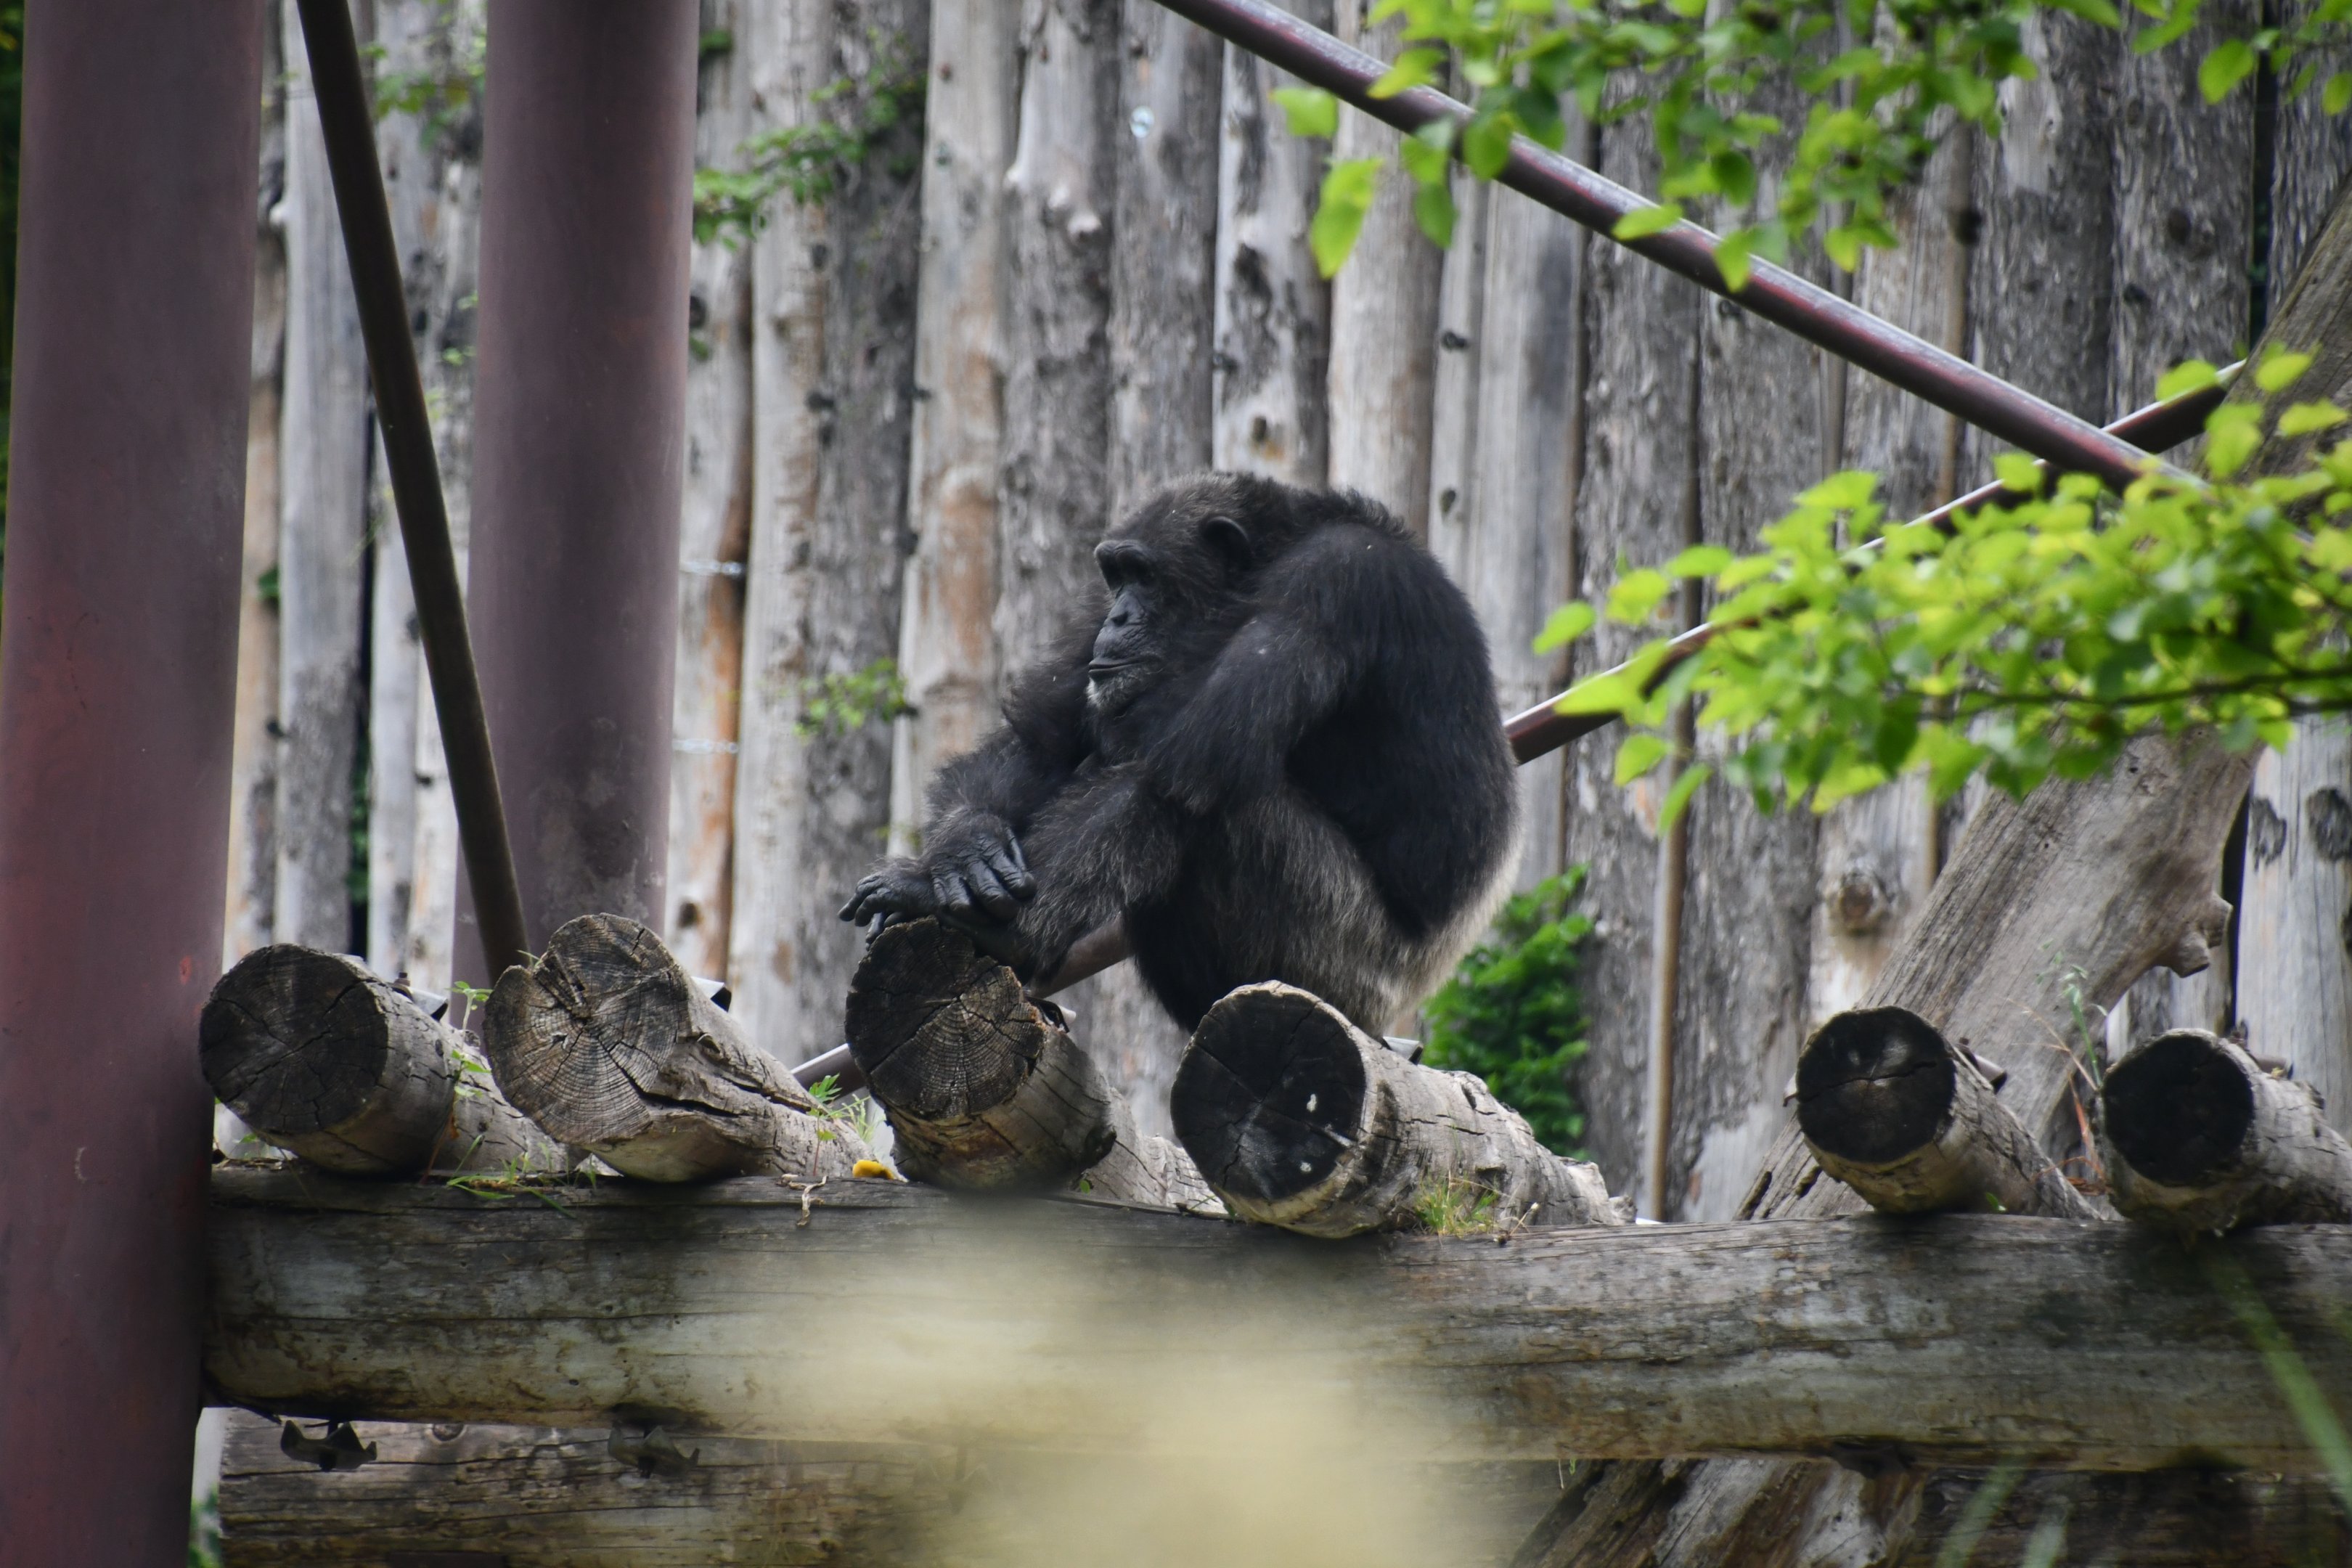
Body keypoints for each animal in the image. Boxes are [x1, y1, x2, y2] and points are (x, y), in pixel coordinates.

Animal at [839, 473, 1521, 1036]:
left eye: (1145, 574)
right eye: (1115, 575)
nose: (1118, 617)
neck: (1273, 555)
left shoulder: (1336, 579)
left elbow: (1180, 758)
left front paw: (934, 893)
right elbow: (1040, 741)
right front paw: (965, 850)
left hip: (1344, 963)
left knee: (1204, 801)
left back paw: (1006, 938)